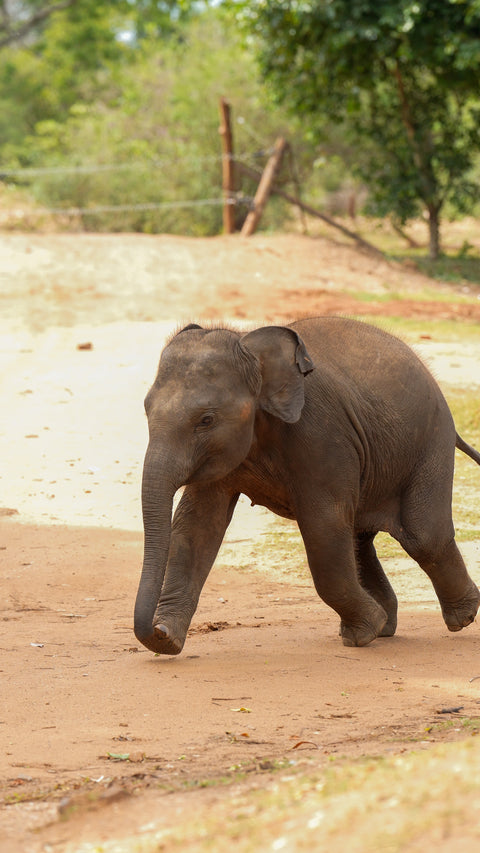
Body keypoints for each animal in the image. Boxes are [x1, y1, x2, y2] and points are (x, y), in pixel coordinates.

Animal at [134, 317, 480, 655]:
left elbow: (323, 525)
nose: (153, 630)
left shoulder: (321, 435)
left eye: (206, 420)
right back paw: (386, 626)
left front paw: (363, 633)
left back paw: (461, 618)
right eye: (146, 410)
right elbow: (197, 526)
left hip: (431, 443)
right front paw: (168, 639)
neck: (251, 348)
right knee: (361, 538)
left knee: (423, 536)